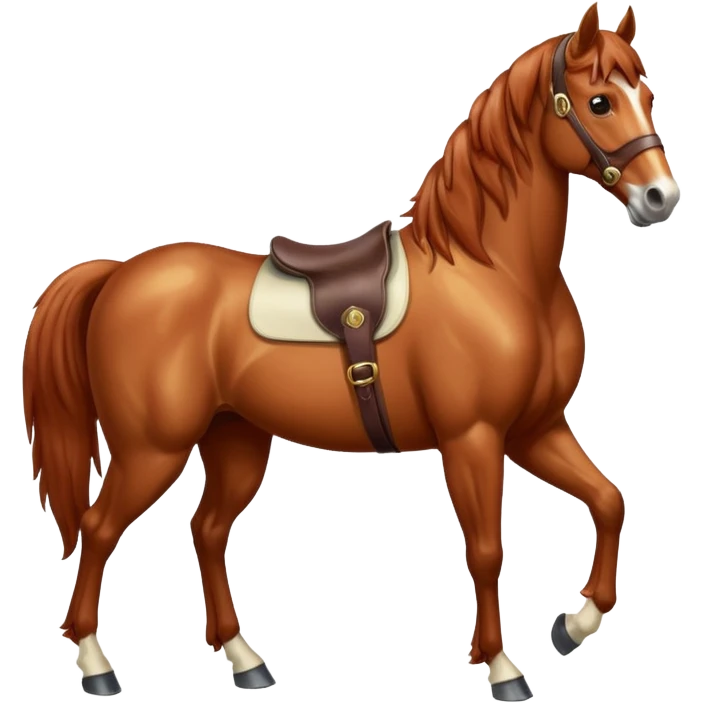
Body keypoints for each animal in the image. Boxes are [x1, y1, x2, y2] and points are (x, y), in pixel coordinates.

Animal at [21, 3, 679, 700]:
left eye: (648, 95)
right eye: (600, 101)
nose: (661, 198)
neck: (496, 271)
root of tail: (117, 274)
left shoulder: (535, 430)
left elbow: (609, 501)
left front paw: (574, 624)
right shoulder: (472, 439)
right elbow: (484, 550)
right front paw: (501, 666)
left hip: (234, 439)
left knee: (206, 530)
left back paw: (244, 659)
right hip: (152, 449)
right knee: (99, 529)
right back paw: (95, 664)